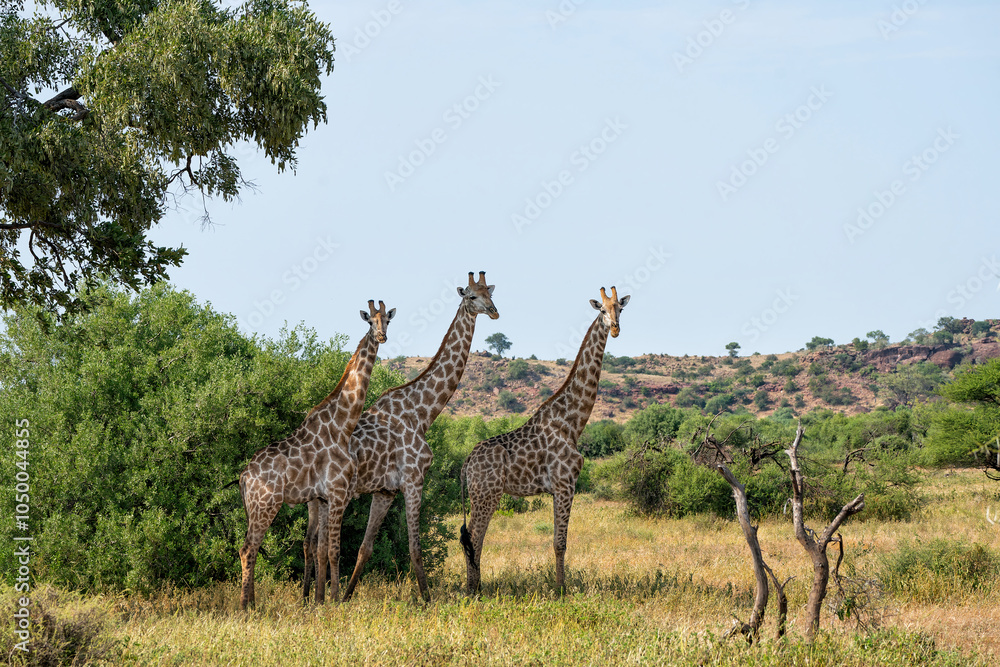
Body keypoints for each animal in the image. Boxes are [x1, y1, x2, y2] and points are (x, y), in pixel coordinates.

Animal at [238, 300, 395, 609]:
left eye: (388, 320)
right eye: (370, 321)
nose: (382, 337)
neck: (342, 426)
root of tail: (244, 477)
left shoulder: (324, 497)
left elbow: (322, 548)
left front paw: (322, 599)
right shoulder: (337, 493)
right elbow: (333, 550)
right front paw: (333, 600)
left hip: (255, 508)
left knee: (249, 548)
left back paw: (251, 603)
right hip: (266, 506)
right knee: (248, 549)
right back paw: (245, 607)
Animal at [302, 271, 499, 603]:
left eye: (491, 293)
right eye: (472, 296)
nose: (495, 312)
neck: (422, 412)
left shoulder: (385, 491)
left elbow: (365, 548)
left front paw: (346, 596)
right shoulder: (413, 479)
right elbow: (414, 548)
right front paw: (428, 600)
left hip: (316, 497)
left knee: (310, 541)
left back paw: (310, 598)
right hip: (333, 495)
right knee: (319, 543)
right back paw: (317, 598)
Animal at [459, 286, 629, 594]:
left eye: (620, 309)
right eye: (601, 310)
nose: (615, 328)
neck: (573, 423)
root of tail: (466, 464)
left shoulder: (558, 488)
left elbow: (556, 541)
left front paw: (559, 586)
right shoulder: (565, 484)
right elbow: (560, 543)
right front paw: (561, 591)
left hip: (481, 496)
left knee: (470, 538)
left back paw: (475, 587)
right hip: (487, 494)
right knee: (475, 538)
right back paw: (474, 590)